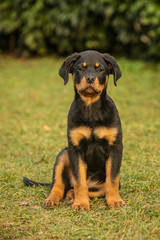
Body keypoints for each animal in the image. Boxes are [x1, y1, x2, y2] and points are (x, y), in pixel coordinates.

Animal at [23, 50, 126, 210]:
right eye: (80, 68)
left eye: (100, 69)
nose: (90, 78)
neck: (91, 109)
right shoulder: (75, 148)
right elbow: (79, 181)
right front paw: (81, 204)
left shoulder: (115, 147)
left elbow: (112, 179)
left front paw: (115, 201)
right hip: (63, 154)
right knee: (59, 185)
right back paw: (53, 199)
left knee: (91, 189)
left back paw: (71, 196)